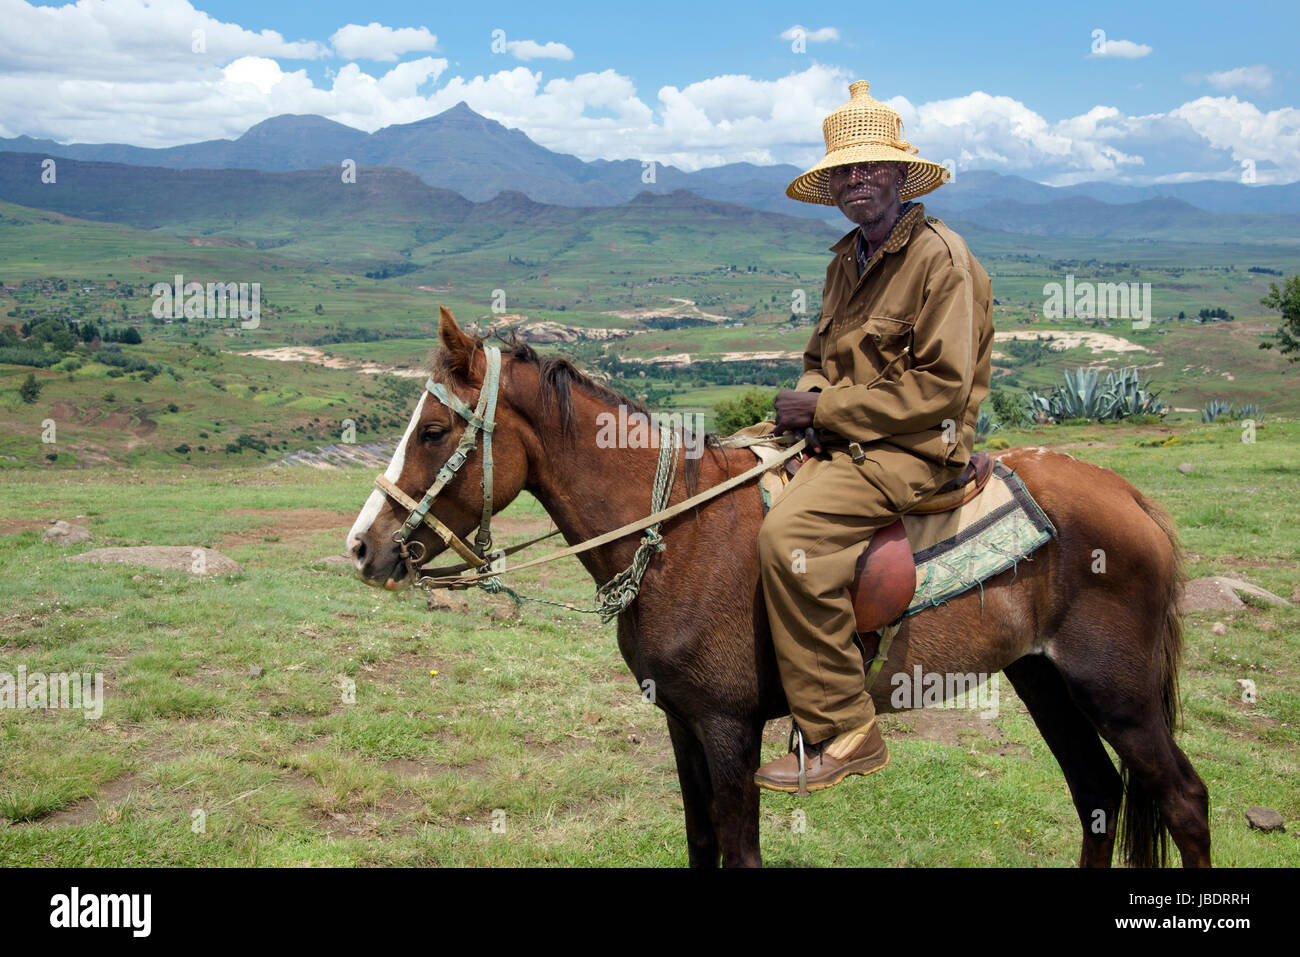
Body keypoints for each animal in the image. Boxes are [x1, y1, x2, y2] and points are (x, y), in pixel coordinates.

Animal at [343, 310, 1206, 868]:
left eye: (433, 432)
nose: (365, 546)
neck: (678, 533)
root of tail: (1132, 498)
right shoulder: (683, 722)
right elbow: (700, 845)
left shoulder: (730, 728)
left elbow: (739, 850)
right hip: (1043, 677)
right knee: (1097, 793)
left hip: (1117, 692)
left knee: (1184, 801)